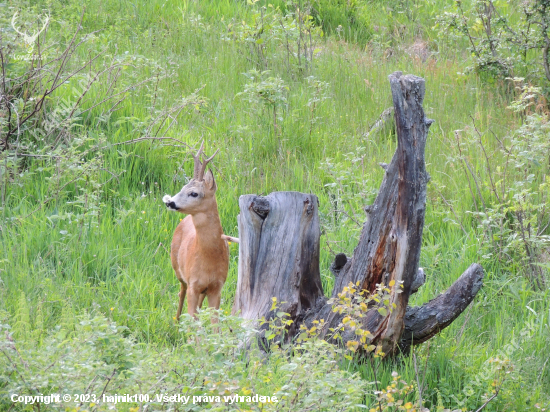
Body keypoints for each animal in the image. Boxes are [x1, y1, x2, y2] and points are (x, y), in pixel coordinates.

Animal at [165, 145, 232, 322]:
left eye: (194, 193)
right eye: (182, 188)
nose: (170, 202)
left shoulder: (217, 287)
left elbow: (215, 323)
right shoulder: (193, 284)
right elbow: (193, 322)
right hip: (178, 270)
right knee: (181, 292)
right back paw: (176, 321)